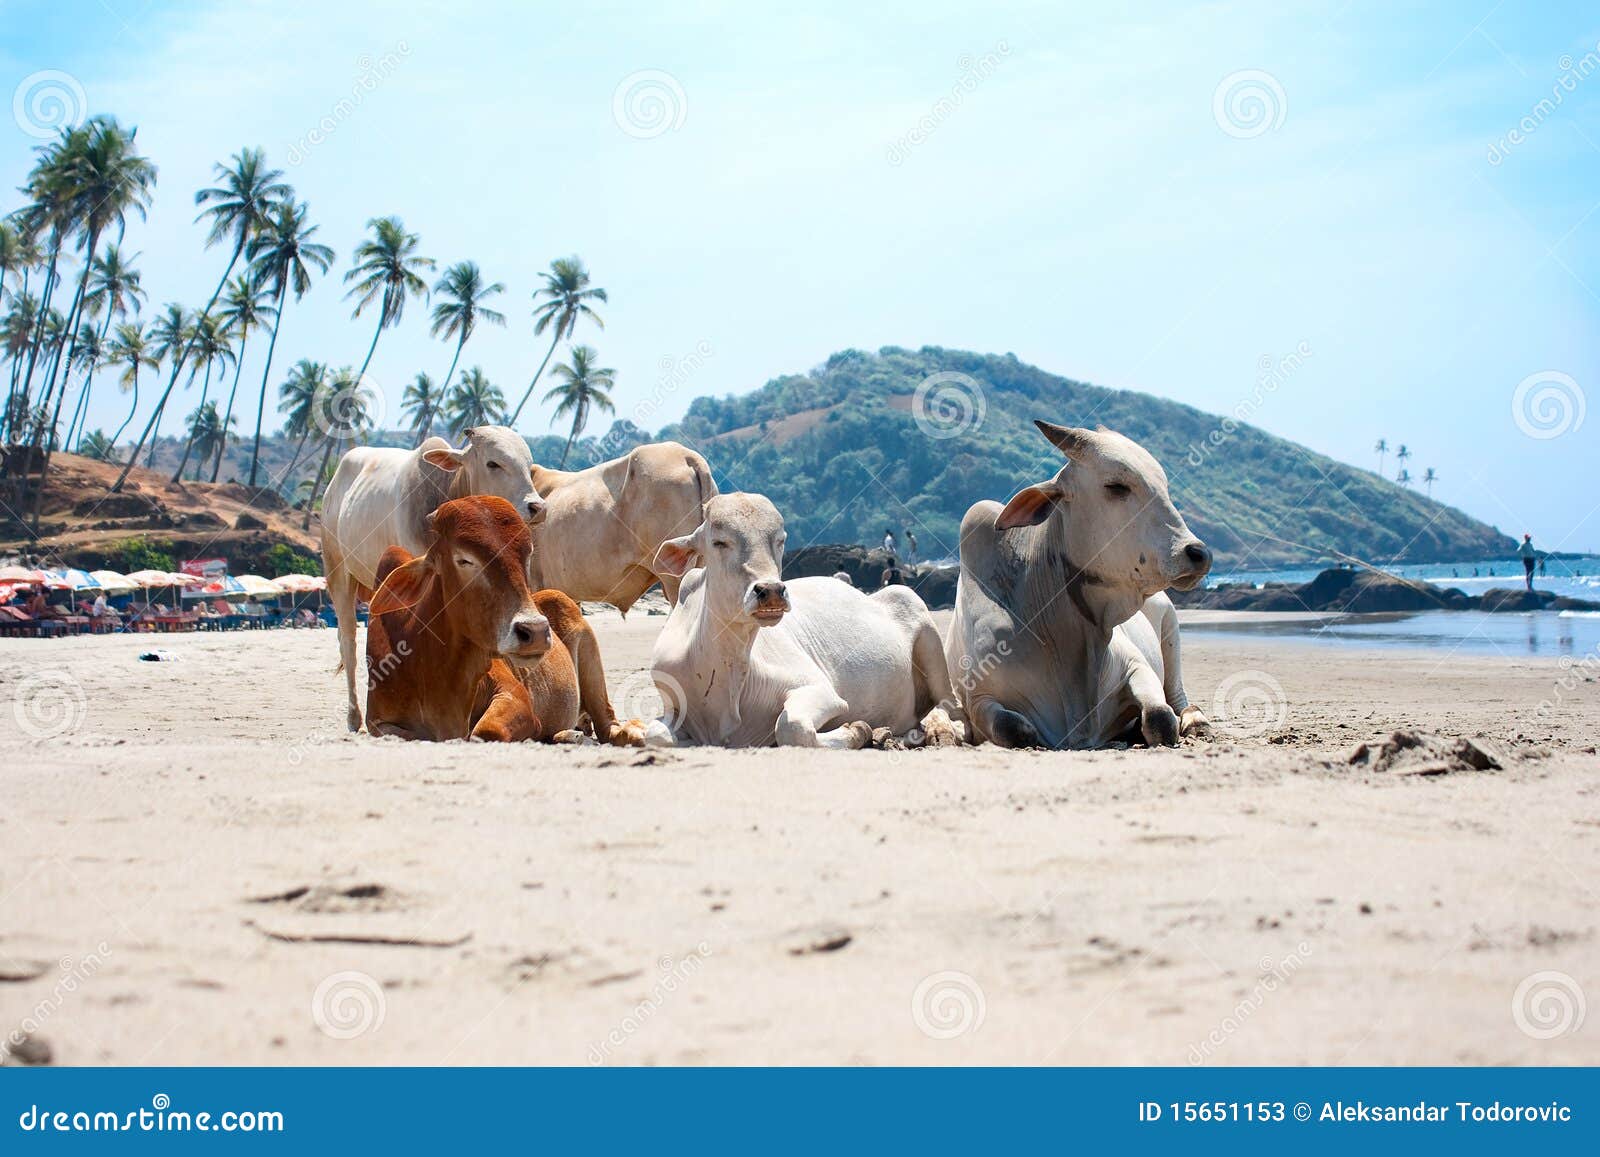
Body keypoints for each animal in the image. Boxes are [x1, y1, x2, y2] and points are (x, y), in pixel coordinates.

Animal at [366, 496, 646, 745]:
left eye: (527, 556)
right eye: (464, 559)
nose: (535, 631)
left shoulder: (514, 696)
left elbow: (484, 732)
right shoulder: (375, 722)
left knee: (608, 726)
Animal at [649, 489, 960, 752]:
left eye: (780, 540)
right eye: (719, 542)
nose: (771, 591)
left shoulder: (819, 690)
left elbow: (792, 727)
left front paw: (856, 731)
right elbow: (655, 733)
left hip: (918, 615)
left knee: (949, 705)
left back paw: (937, 731)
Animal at [934, 422, 1209, 745]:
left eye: (1165, 486)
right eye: (1116, 486)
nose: (1198, 553)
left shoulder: (1136, 665)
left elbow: (1160, 717)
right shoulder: (979, 698)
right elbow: (1014, 728)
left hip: (1171, 629)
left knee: (1178, 699)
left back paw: (1197, 722)